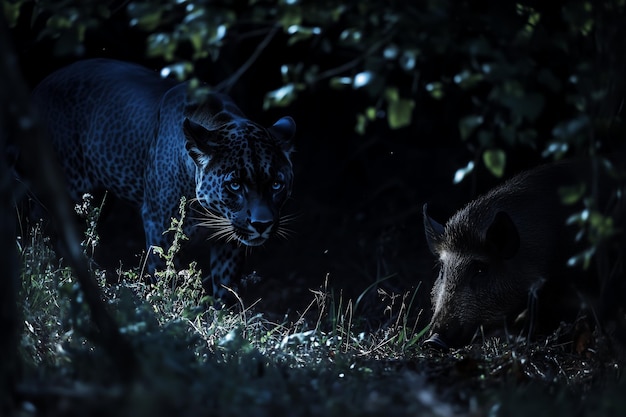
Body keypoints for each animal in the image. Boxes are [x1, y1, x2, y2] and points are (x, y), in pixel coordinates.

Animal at [32, 58, 298, 300]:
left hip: (98, 202)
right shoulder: (159, 225)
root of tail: (42, 85)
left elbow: (226, 287)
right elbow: (165, 277)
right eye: (235, 185)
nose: (262, 224)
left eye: (276, 184)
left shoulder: (230, 241)